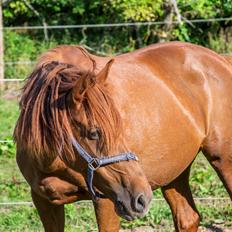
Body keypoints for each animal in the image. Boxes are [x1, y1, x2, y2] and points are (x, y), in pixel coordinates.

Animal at [14, 42, 232, 232]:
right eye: (94, 133)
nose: (142, 197)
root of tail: (221, 60)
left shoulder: (106, 201)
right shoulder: (44, 201)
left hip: (223, 161)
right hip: (174, 170)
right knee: (188, 219)